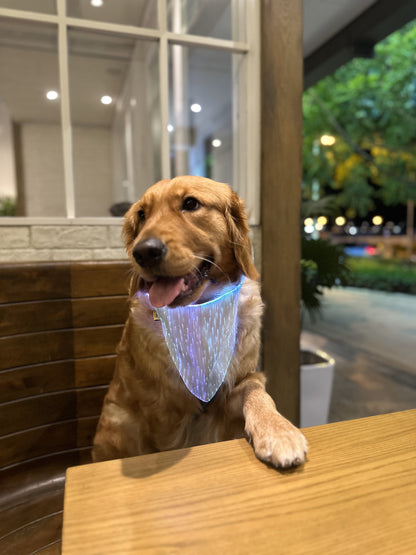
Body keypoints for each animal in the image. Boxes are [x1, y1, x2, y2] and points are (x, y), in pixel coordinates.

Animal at [94, 176, 308, 466]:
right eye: (141, 214)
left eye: (191, 204)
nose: (144, 252)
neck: (200, 310)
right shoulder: (162, 411)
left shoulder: (236, 386)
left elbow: (257, 392)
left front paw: (279, 431)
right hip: (118, 423)